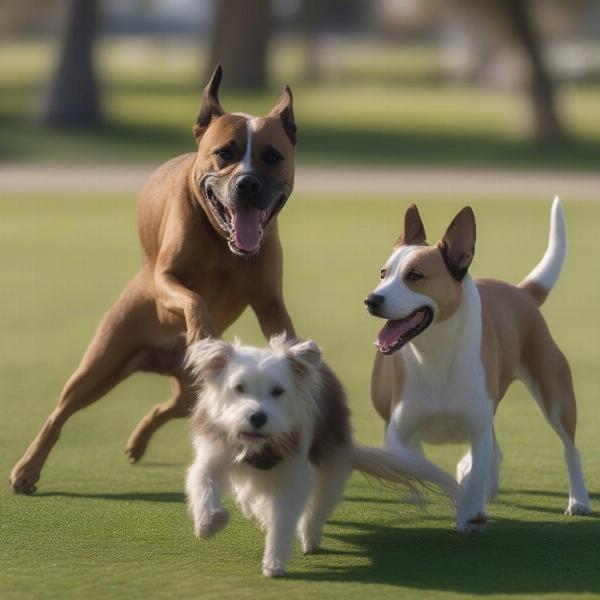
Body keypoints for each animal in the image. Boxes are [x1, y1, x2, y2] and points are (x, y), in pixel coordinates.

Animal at [9, 68, 298, 494]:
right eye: (225, 153)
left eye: (273, 157)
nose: (247, 183)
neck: (222, 241)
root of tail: (161, 358)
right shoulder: (165, 280)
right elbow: (193, 297)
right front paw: (203, 331)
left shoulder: (270, 304)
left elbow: (284, 331)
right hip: (100, 364)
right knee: (60, 413)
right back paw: (27, 469)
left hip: (192, 390)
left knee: (168, 408)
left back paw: (137, 443)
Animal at [185, 338, 458, 576]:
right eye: (239, 388)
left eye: (278, 391)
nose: (258, 417)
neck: (258, 445)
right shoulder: (214, 454)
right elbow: (202, 481)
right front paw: (208, 522)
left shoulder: (291, 478)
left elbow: (283, 520)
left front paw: (274, 562)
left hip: (332, 463)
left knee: (318, 506)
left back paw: (309, 537)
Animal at [366, 199, 592, 532]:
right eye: (383, 273)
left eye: (415, 276)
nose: (372, 300)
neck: (436, 354)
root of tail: (520, 292)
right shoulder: (398, 432)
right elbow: (420, 464)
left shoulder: (478, 429)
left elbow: (474, 472)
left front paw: (469, 511)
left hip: (555, 395)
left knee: (570, 449)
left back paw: (578, 501)